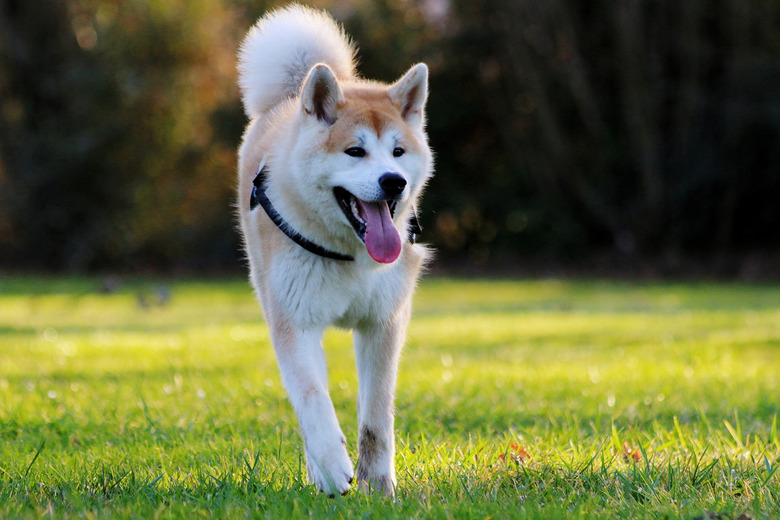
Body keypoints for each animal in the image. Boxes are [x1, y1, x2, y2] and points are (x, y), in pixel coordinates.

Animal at [235, 5, 436, 500]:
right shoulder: (294, 324)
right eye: (354, 151)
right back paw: (320, 472)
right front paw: (333, 466)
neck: (354, 256)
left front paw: (378, 485)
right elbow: (312, 400)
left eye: (398, 152)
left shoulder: (384, 324)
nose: (393, 182)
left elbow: (376, 418)